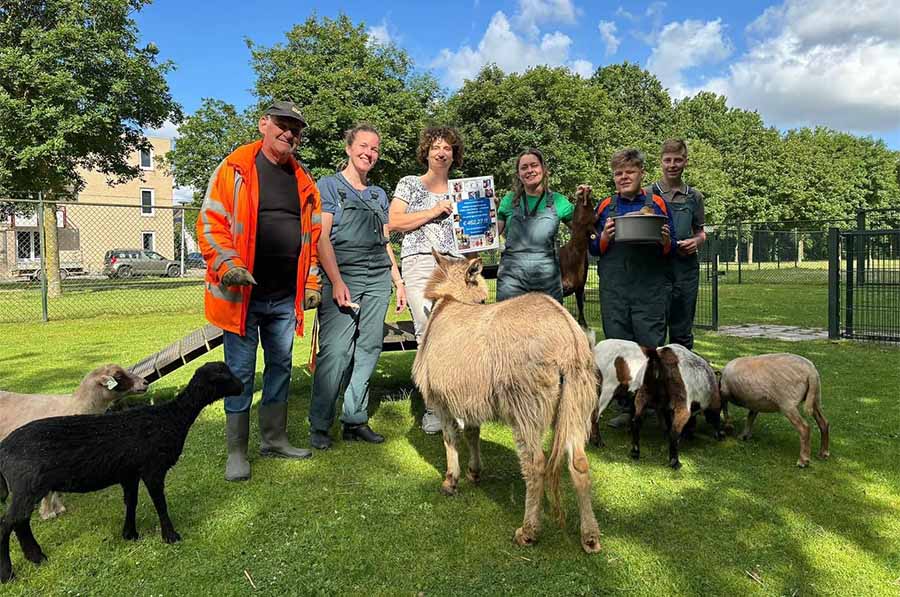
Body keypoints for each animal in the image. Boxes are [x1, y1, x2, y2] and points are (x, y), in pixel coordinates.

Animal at [0, 360, 243, 580]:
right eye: (225, 376)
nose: (241, 386)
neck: (172, 418)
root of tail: (4, 448)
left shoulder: (130, 473)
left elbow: (131, 502)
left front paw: (130, 534)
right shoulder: (152, 468)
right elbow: (160, 503)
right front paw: (170, 536)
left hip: (28, 489)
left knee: (20, 522)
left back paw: (36, 557)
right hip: (27, 486)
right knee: (7, 523)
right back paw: (8, 573)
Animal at [412, 249, 600, 552]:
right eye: (481, 295)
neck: (452, 303)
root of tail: (567, 337)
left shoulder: (442, 401)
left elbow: (450, 438)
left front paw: (451, 481)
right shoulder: (469, 399)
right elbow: (472, 433)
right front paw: (474, 472)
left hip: (527, 406)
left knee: (535, 464)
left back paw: (528, 531)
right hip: (576, 405)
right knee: (579, 463)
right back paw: (590, 537)